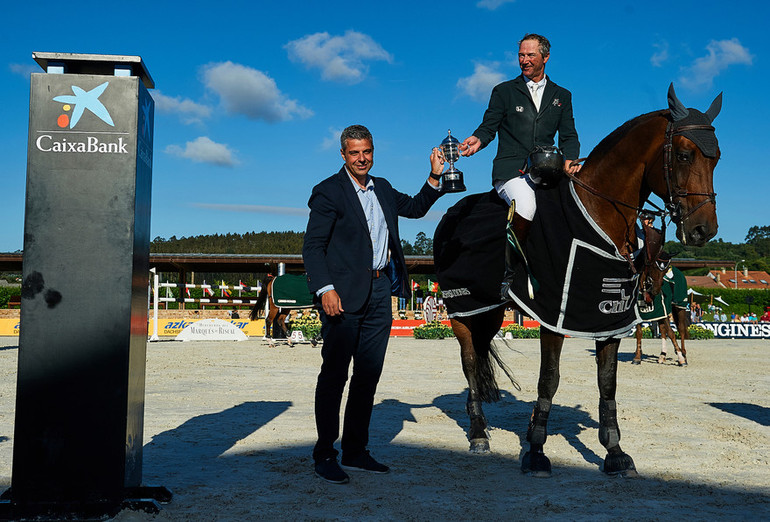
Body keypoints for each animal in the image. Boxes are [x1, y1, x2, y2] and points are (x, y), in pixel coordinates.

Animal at [436, 82, 724, 476]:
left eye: (717, 158)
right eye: (682, 155)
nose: (702, 230)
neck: (598, 211)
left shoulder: (607, 317)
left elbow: (608, 382)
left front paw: (615, 451)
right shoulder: (553, 316)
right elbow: (549, 378)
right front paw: (536, 451)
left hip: (491, 311)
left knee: (480, 356)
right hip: (461, 310)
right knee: (468, 362)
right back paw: (479, 433)